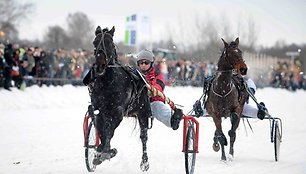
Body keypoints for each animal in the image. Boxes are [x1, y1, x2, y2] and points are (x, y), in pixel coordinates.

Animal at [83, 26, 151, 171]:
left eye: (109, 43)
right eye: (94, 42)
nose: (100, 64)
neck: (108, 82)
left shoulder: (118, 111)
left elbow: (110, 131)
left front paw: (107, 152)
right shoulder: (99, 110)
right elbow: (101, 130)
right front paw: (100, 151)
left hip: (143, 112)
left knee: (144, 136)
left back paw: (145, 162)